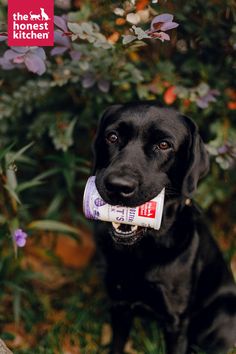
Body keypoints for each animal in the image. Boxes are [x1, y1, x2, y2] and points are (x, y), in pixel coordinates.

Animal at [92, 102, 236, 354]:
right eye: (112, 137)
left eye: (163, 145)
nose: (118, 186)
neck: (142, 250)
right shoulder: (120, 305)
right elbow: (117, 344)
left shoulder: (176, 321)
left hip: (220, 321)